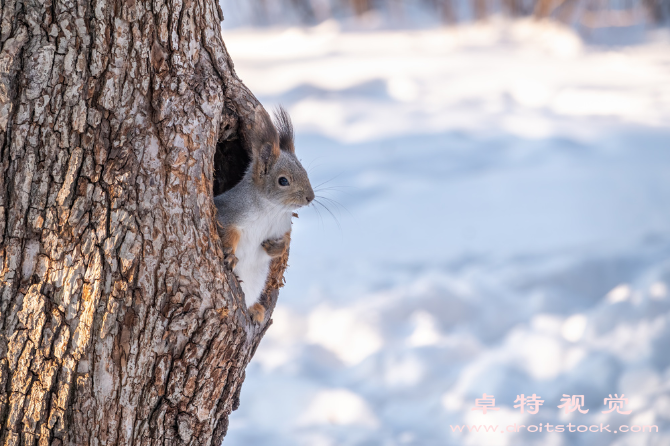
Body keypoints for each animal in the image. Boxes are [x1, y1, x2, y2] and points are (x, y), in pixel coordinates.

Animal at [215, 108, 316, 324]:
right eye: (283, 181)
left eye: (305, 172)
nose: (310, 197)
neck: (272, 210)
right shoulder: (229, 212)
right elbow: (228, 231)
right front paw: (230, 254)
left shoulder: (282, 226)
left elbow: (286, 240)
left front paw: (275, 247)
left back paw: (255, 310)